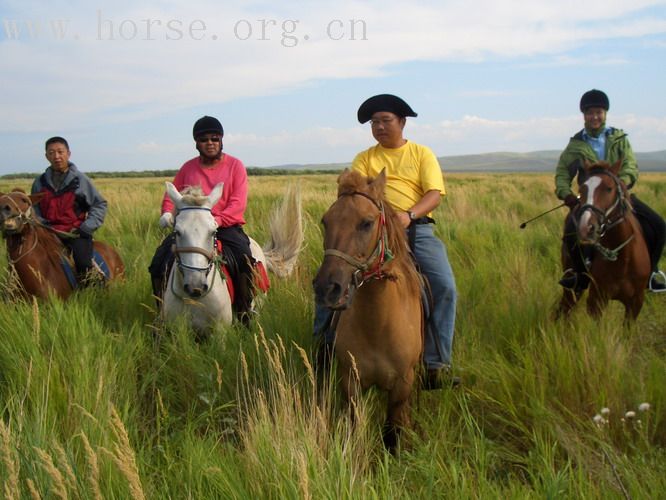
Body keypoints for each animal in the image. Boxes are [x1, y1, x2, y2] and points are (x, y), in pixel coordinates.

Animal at [312, 169, 420, 454]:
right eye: (325, 221)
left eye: (367, 223)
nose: (327, 288)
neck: (378, 326)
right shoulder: (351, 382)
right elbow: (354, 425)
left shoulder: (402, 386)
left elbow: (392, 432)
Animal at [556, 160, 648, 322]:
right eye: (582, 189)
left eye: (609, 188)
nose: (586, 228)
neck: (624, 259)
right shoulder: (596, 301)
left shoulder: (636, 302)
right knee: (564, 308)